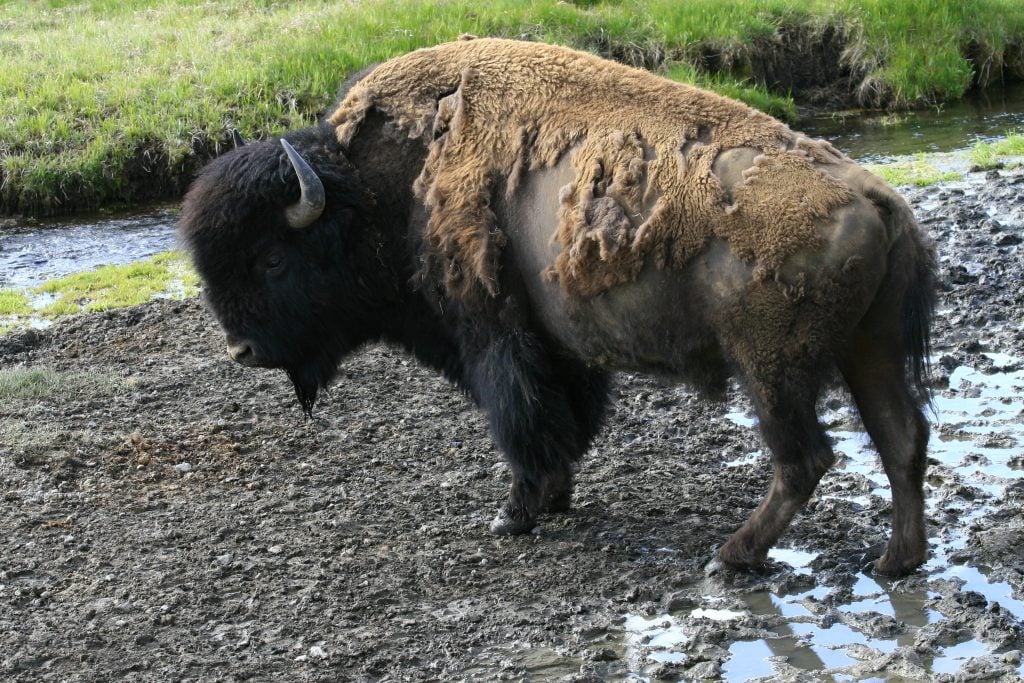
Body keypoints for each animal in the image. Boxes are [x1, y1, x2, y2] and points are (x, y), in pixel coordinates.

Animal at [178, 37, 937, 577]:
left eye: (272, 259)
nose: (241, 350)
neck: (373, 191)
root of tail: (875, 195)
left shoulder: (493, 337)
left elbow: (523, 422)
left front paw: (515, 514)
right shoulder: (560, 346)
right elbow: (564, 420)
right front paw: (557, 498)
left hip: (771, 367)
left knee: (804, 458)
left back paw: (733, 555)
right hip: (867, 349)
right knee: (901, 439)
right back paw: (896, 561)